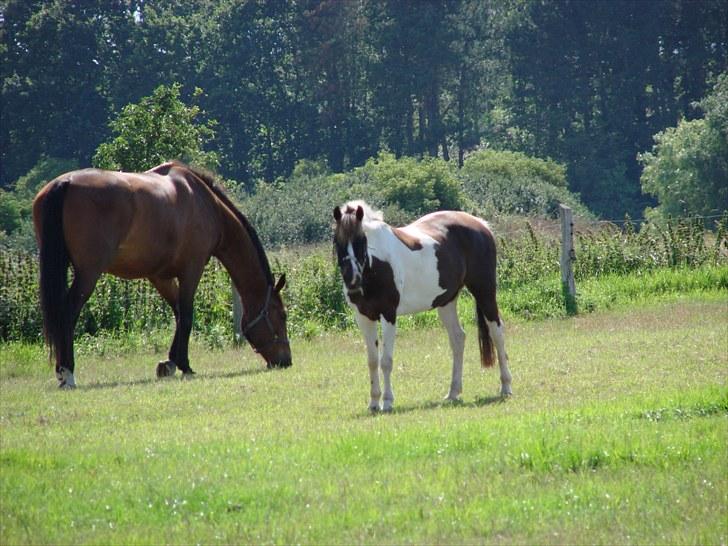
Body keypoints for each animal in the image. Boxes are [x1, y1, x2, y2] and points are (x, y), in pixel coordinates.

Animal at [32, 158, 292, 386]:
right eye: (282, 315)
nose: (286, 361)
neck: (206, 203)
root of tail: (65, 183)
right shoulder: (191, 269)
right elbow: (186, 315)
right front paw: (185, 365)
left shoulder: (160, 276)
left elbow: (177, 311)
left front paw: (170, 363)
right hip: (88, 274)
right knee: (68, 313)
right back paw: (67, 373)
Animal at [334, 202, 512, 410]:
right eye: (337, 242)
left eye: (361, 240)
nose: (352, 281)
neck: (375, 264)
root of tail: (481, 224)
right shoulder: (363, 317)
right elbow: (372, 361)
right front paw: (373, 403)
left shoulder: (388, 315)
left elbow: (386, 361)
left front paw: (387, 401)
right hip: (446, 302)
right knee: (458, 338)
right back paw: (453, 392)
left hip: (484, 291)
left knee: (497, 332)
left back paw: (506, 386)